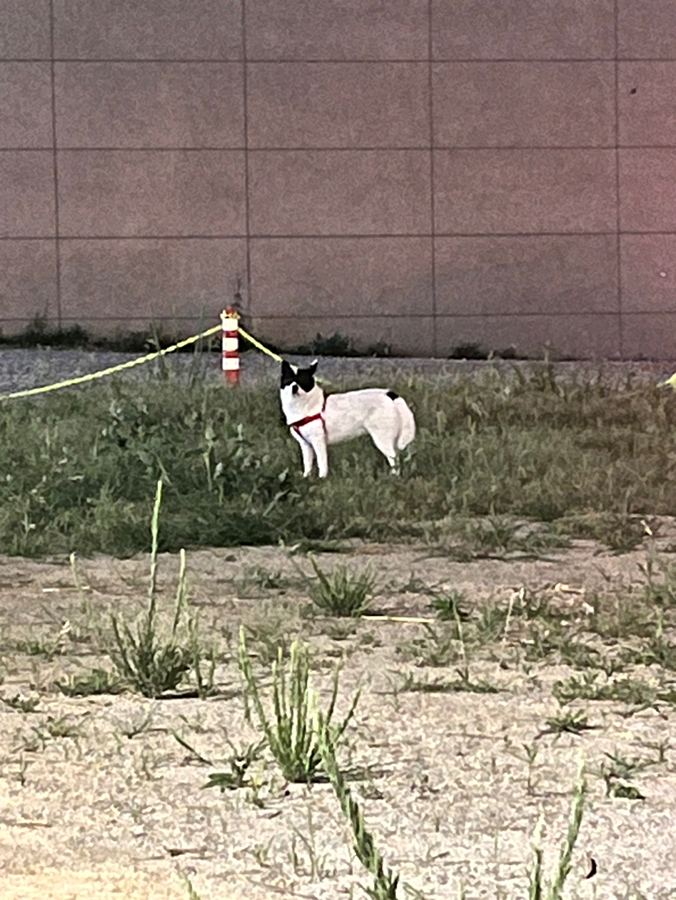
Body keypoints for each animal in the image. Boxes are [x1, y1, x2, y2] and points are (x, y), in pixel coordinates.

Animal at [280, 360, 418, 482]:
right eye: (289, 381)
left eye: (302, 381)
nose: (294, 387)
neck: (303, 406)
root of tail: (389, 394)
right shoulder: (305, 444)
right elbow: (307, 464)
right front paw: (306, 477)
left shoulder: (318, 441)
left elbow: (321, 462)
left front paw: (322, 478)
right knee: (396, 457)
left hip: (382, 438)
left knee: (393, 458)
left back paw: (393, 477)